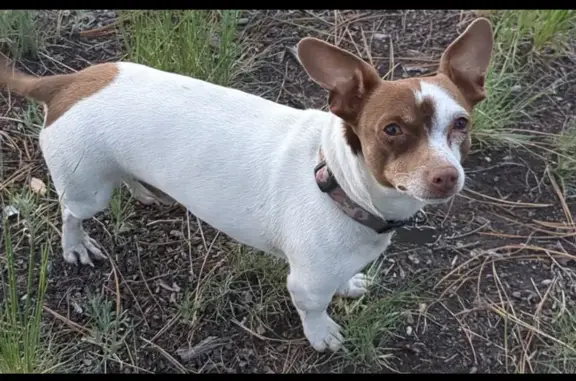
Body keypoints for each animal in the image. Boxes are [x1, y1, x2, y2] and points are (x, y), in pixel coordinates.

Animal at [1, 17, 496, 350]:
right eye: (392, 130)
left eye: (461, 123)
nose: (446, 176)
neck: (337, 180)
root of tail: (67, 83)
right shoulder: (306, 283)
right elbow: (314, 308)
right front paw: (322, 333)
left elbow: (342, 279)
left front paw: (349, 285)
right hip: (87, 189)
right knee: (71, 213)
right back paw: (76, 244)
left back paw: (144, 190)